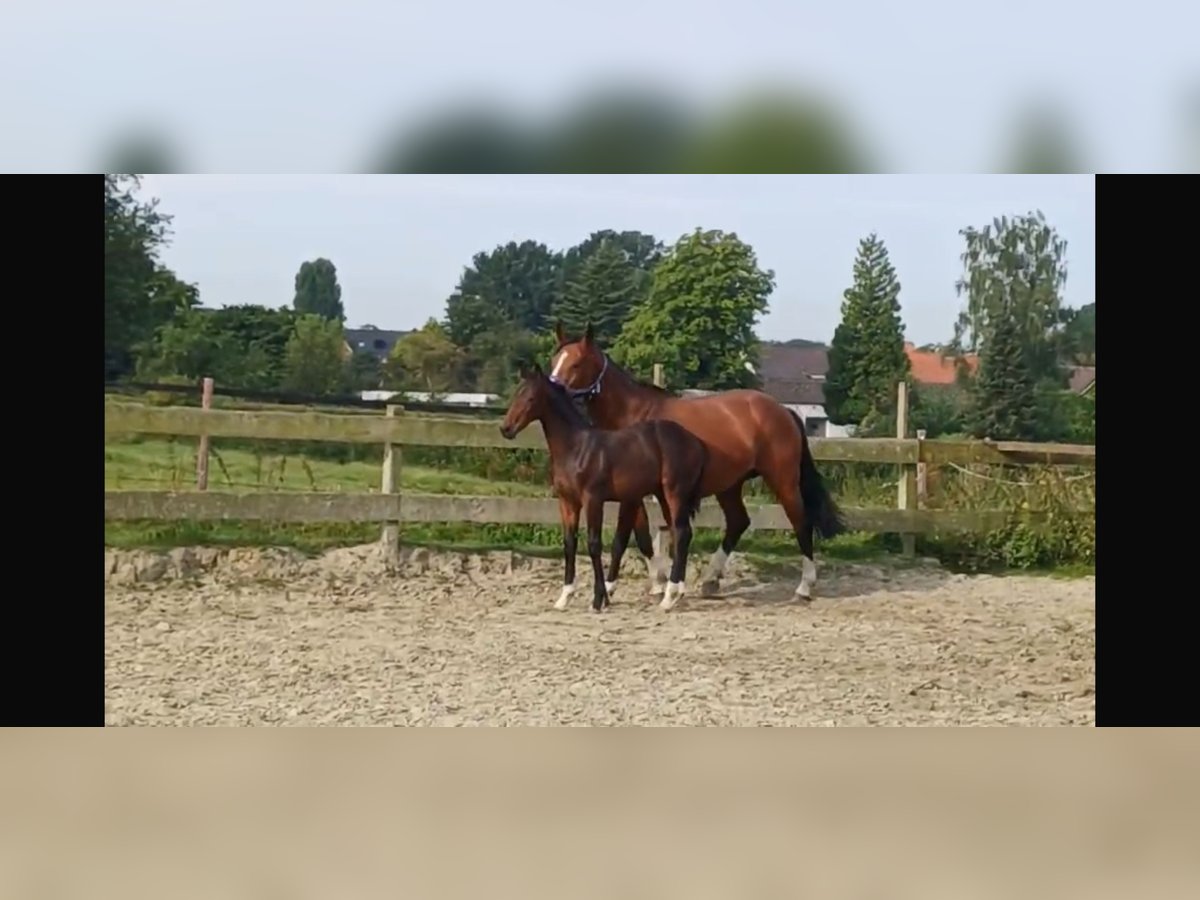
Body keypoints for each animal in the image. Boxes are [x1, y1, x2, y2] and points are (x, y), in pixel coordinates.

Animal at [499, 364, 705, 614]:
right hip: (663, 496)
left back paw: (669, 597)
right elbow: (569, 543)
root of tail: (695, 441)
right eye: (516, 394)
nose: (506, 428)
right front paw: (564, 597)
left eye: (530, 398)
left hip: (675, 493)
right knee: (679, 533)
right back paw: (675, 594)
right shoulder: (567, 502)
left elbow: (594, 544)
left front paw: (598, 599)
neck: (576, 448)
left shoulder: (593, 500)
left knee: (682, 533)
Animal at [549, 324, 849, 607]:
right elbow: (643, 535)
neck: (633, 417)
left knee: (801, 521)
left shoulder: (634, 494)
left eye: (576, 363)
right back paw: (710, 579)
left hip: (782, 479)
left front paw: (623, 587)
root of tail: (782, 410)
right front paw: (659, 584)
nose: (554, 388)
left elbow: (629, 536)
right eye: (555, 359)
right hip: (730, 485)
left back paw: (804, 587)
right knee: (738, 522)